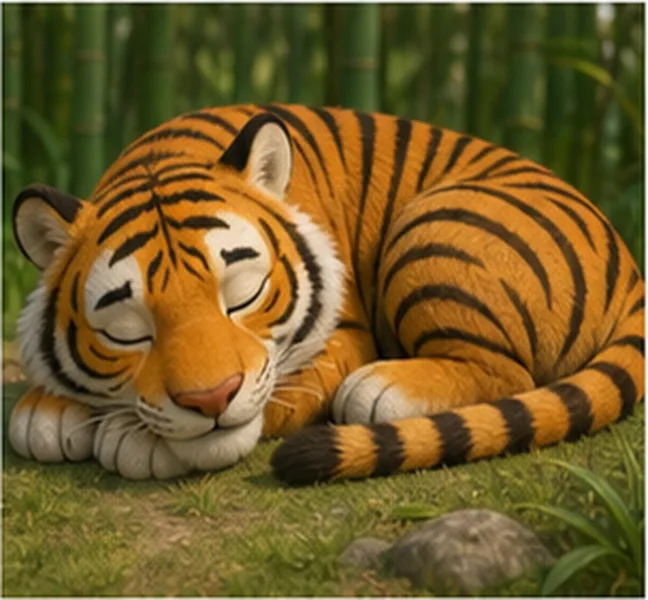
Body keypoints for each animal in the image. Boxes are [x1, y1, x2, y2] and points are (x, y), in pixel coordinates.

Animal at [9, 104, 644, 484]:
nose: (211, 399)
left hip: (433, 225)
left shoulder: (345, 335)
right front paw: (47, 408)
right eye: (128, 330)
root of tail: (630, 263)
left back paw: (384, 385)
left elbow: (280, 393)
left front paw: (136, 441)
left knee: (506, 373)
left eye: (242, 295)